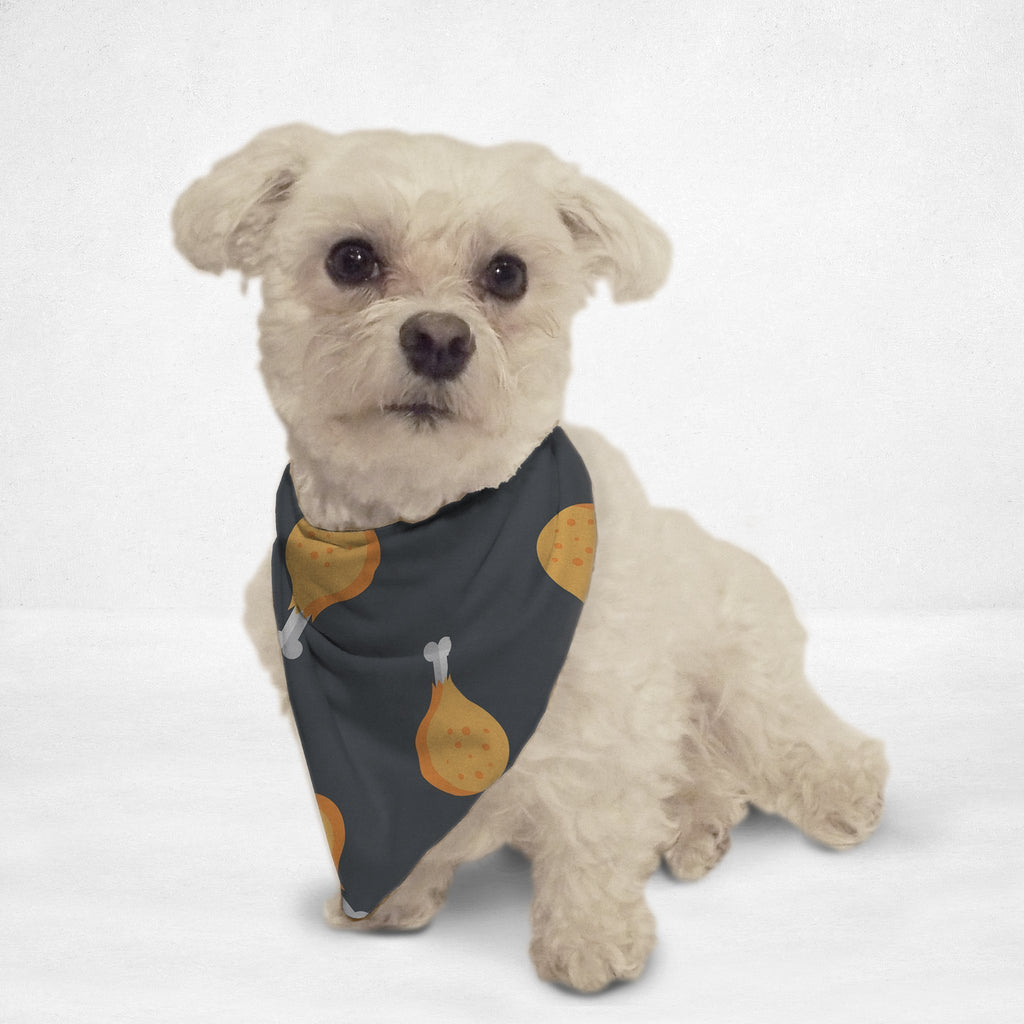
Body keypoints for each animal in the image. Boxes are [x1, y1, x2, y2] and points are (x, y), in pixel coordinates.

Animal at [173, 125, 888, 992]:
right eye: (351, 259)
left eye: (506, 274)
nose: (440, 338)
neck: (418, 548)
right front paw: (395, 897)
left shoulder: (607, 714)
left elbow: (593, 830)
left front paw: (589, 937)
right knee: (704, 780)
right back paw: (695, 828)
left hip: (740, 673)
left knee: (796, 741)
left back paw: (836, 794)